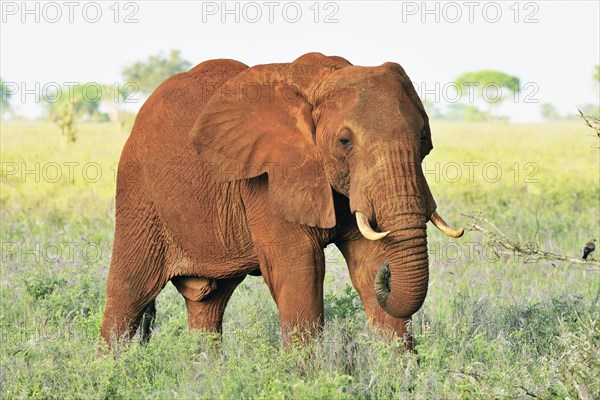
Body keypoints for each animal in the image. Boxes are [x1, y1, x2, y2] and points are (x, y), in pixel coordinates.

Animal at [101, 52, 462, 350]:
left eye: (424, 140)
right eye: (344, 142)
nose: (388, 277)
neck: (323, 79)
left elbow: (369, 262)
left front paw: (400, 376)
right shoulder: (269, 177)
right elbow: (300, 269)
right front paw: (306, 381)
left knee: (208, 304)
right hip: (139, 194)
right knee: (128, 293)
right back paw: (110, 370)